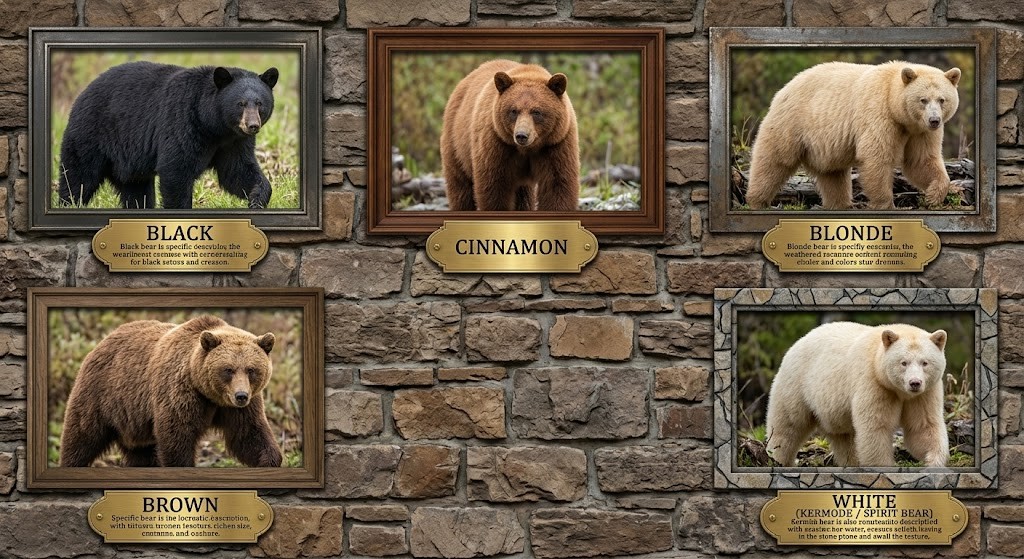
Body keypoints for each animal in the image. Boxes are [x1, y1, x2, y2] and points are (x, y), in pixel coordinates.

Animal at [57, 61, 278, 210]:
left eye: (260, 103)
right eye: (240, 104)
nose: (252, 125)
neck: (215, 126)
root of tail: (82, 93)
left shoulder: (233, 142)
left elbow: (236, 171)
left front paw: (256, 198)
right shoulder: (183, 123)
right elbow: (176, 169)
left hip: (129, 163)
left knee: (137, 190)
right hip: (91, 136)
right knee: (78, 176)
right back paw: (68, 203)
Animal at [59, 316, 283, 468]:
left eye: (251, 370)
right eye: (228, 369)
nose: (241, 396)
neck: (209, 394)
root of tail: (102, 341)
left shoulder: (237, 408)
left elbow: (249, 434)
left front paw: (270, 460)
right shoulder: (180, 392)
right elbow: (177, 435)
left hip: (135, 422)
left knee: (141, 453)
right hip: (101, 394)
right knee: (82, 436)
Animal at [440, 59, 580, 211]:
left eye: (536, 112)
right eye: (513, 111)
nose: (521, 135)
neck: (527, 149)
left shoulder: (556, 143)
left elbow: (557, 184)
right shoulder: (497, 142)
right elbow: (494, 187)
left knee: (524, 195)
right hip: (456, 143)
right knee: (460, 185)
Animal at [745, 61, 961, 210]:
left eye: (942, 99)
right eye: (923, 100)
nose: (934, 120)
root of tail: (785, 87)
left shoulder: (919, 132)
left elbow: (921, 161)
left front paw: (933, 195)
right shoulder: (878, 114)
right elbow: (876, 156)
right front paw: (886, 203)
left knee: (833, 175)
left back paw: (840, 203)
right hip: (793, 123)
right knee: (774, 159)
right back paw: (757, 200)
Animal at [764, 322, 949, 468]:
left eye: (925, 362)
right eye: (903, 362)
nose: (915, 383)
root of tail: (798, 341)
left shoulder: (924, 394)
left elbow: (923, 426)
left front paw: (933, 461)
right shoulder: (874, 384)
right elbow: (875, 427)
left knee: (844, 439)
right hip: (797, 384)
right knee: (788, 426)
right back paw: (778, 459)